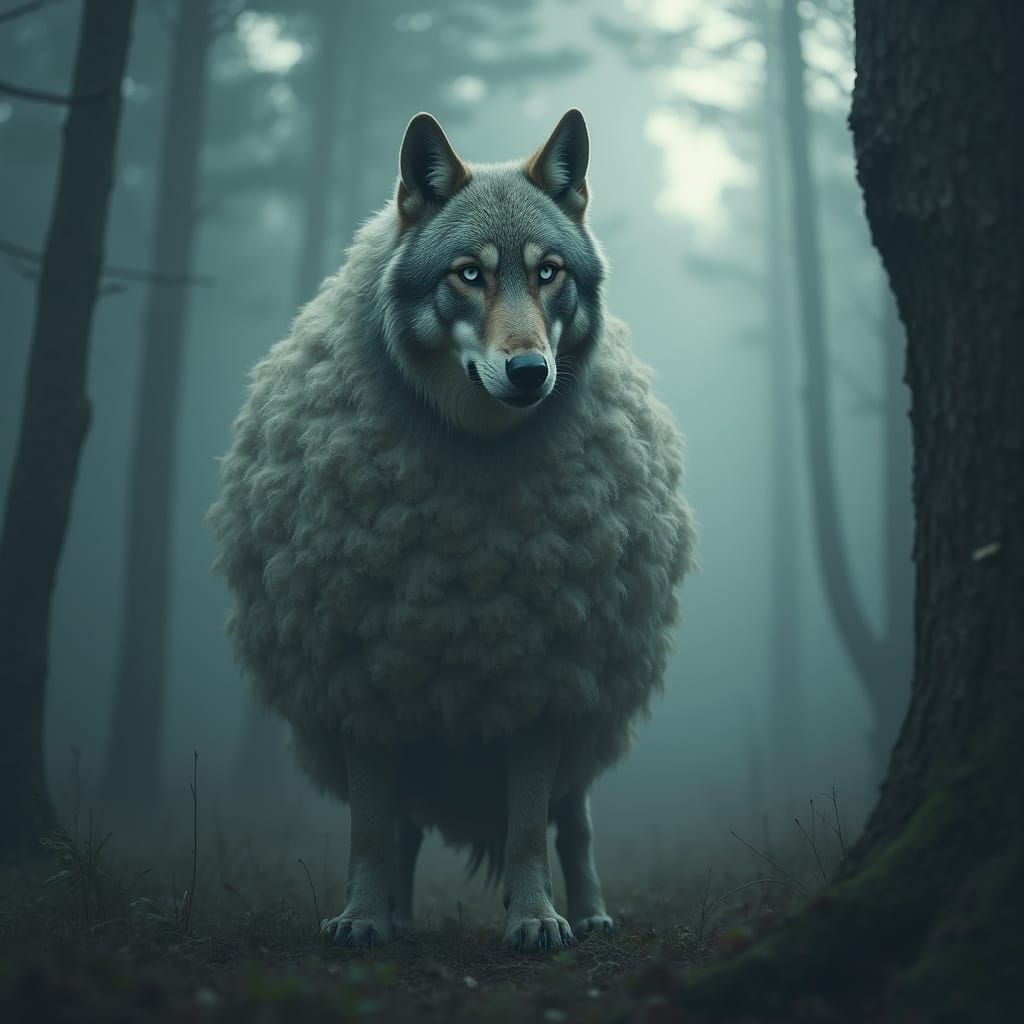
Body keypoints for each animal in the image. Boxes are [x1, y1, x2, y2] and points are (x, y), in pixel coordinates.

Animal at [210, 109, 694, 951]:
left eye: (548, 272)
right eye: (469, 273)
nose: (530, 372)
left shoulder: (540, 674)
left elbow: (530, 827)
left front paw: (537, 919)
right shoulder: (362, 672)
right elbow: (371, 832)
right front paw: (363, 918)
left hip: (585, 698)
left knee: (576, 825)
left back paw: (591, 912)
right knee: (404, 827)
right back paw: (397, 916)